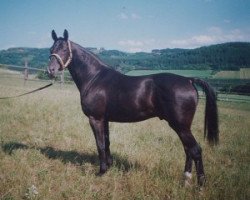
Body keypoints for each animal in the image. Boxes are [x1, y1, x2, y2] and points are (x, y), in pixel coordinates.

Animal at [47, 29, 219, 186]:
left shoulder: (95, 119)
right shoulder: (105, 119)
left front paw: (101, 172)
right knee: (188, 149)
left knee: (195, 150)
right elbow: (107, 143)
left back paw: (200, 185)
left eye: (64, 49)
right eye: (51, 49)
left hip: (181, 126)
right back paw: (186, 179)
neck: (94, 78)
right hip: (182, 127)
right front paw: (109, 166)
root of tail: (188, 80)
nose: (50, 70)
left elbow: (100, 144)